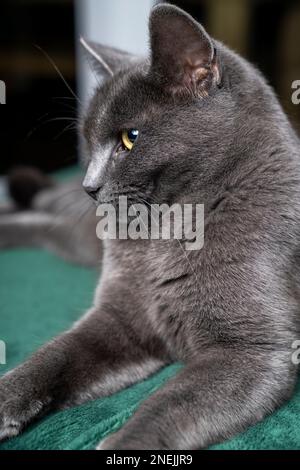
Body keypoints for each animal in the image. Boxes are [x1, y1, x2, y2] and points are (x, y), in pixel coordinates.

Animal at [0, 4, 300, 448]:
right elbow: (51, 356)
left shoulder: (252, 350)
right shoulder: (118, 317)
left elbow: (166, 407)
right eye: (87, 141)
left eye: (131, 137)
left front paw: (123, 443)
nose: (90, 185)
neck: (164, 235)